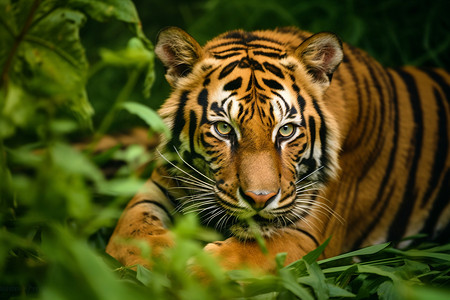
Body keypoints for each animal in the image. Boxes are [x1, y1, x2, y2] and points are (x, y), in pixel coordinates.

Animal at [106, 27, 450, 274]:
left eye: (286, 131)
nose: (260, 199)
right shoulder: (155, 189)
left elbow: (239, 258)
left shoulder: (307, 232)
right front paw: (166, 258)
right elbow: (135, 231)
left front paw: (193, 272)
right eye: (224, 129)